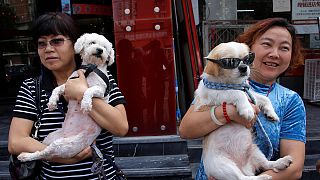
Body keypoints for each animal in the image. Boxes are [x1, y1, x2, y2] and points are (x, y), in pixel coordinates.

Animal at [17, 32, 115, 162]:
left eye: (105, 47)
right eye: (92, 42)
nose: (100, 50)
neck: (90, 69)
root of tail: (65, 135)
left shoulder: (101, 90)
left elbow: (88, 90)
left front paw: (85, 104)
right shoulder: (69, 84)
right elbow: (57, 88)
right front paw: (52, 102)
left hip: (65, 145)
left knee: (44, 153)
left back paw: (26, 156)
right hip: (51, 137)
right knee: (43, 151)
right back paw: (27, 156)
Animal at [194, 41, 294, 179]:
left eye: (247, 59)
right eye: (230, 62)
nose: (243, 68)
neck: (234, 83)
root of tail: (244, 167)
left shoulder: (250, 93)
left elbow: (263, 98)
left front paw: (272, 114)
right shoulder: (217, 93)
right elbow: (238, 93)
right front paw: (247, 110)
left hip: (256, 151)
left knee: (267, 164)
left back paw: (281, 162)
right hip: (223, 166)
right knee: (244, 178)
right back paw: (263, 177)